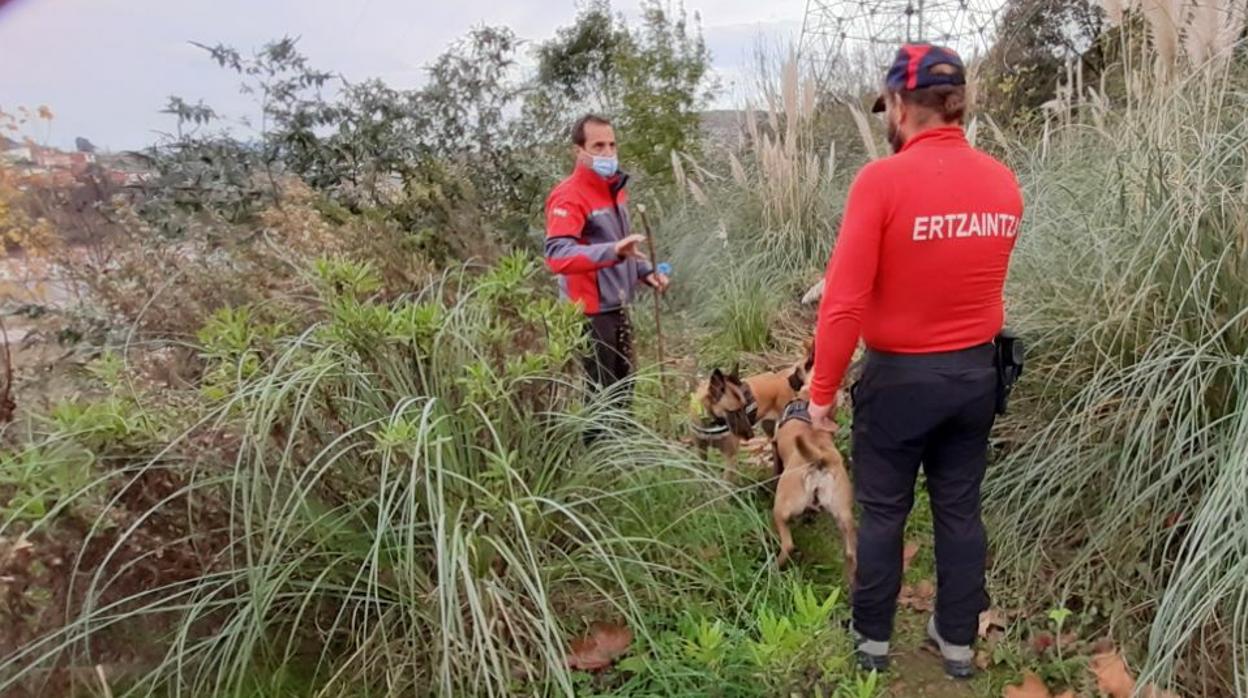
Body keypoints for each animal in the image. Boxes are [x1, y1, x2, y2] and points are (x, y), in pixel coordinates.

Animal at [768, 399, 858, 584]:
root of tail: (821, 459)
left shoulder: (774, 444)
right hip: (843, 513)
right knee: (851, 553)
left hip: (782, 507)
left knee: (788, 544)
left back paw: (774, 567)